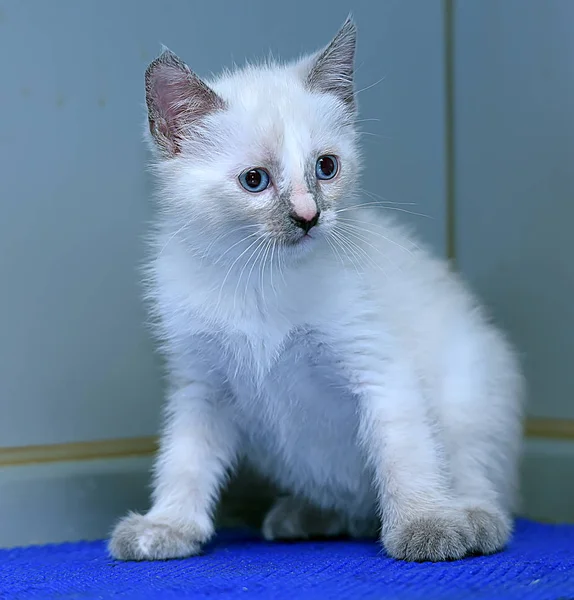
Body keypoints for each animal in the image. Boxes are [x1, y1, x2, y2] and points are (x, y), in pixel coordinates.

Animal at [109, 18, 528, 564]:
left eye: (326, 167)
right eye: (255, 180)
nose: (309, 217)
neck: (260, 277)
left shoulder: (378, 367)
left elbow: (405, 454)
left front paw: (425, 524)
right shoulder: (202, 386)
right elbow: (185, 459)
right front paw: (167, 526)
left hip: (470, 392)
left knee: (475, 475)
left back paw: (473, 518)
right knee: (352, 509)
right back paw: (306, 516)